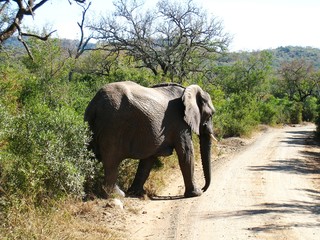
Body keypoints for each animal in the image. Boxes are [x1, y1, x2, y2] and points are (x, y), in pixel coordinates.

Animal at [84, 81, 216, 198]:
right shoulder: (180, 123)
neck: (187, 90)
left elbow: (148, 160)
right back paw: (117, 195)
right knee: (111, 161)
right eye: (210, 115)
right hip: (113, 127)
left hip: (92, 124)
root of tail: (96, 103)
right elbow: (186, 153)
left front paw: (136, 193)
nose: (204, 188)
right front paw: (196, 194)